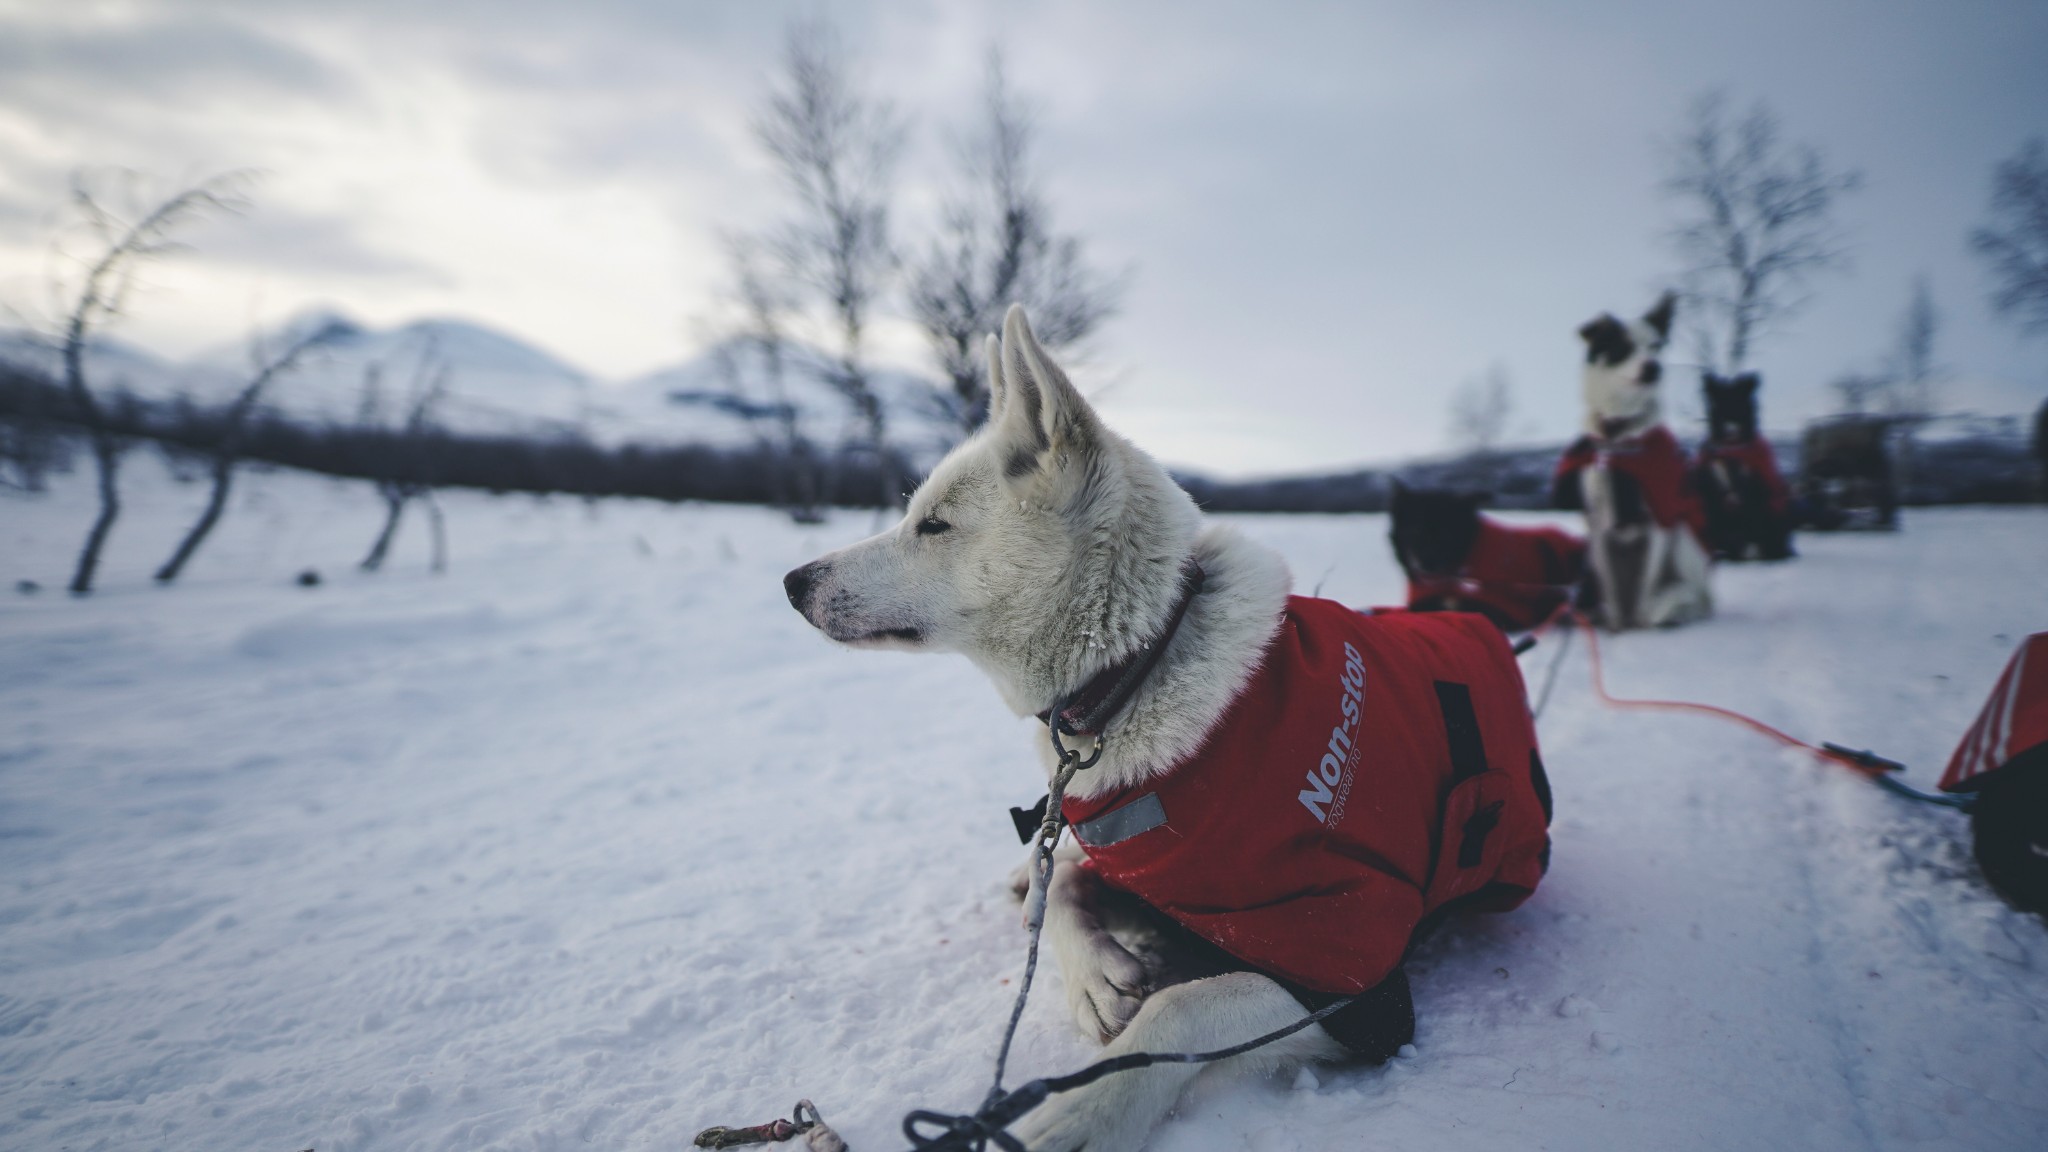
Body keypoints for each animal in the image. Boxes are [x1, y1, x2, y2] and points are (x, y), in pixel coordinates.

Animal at [1548, 289, 1712, 627]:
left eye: (1656, 345)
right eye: (1623, 347)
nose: (1654, 368)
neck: (1618, 438)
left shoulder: (1659, 519)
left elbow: (1644, 591)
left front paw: (1640, 622)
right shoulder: (1597, 525)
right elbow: (1612, 592)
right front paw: (1616, 626)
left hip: (1683, 540)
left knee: (1695, 595)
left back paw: (1678, 609)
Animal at [1695, 368, 1794, 561]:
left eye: (1740, 405)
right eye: (1719, 408)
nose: (1730, 430)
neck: (1732, 450)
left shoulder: (1755, 492)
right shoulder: (1710, 488)